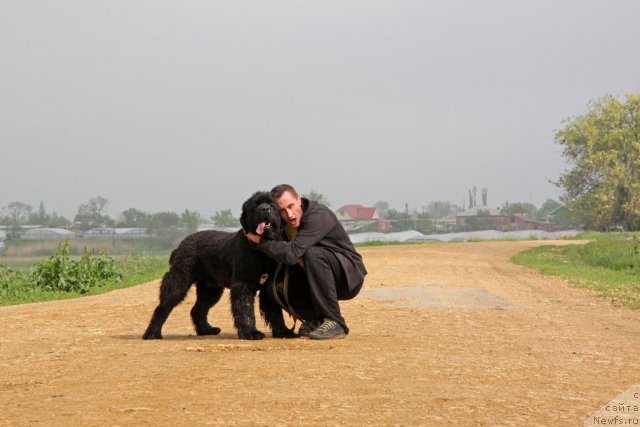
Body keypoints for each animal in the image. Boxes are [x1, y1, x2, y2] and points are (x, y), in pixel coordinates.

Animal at [141, 191, 296, 342]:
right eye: (255, 206)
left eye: (272, 205)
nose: (265, 209)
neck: (261, 250)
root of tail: (180, 246)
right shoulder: (243, 284)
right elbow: (245, 309)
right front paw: (250, 333)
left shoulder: (268, 285)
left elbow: (275, 311)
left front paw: (283, 331)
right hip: (179, 282)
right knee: (163, 307)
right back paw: (152, 333)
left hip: (210, 290)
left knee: (197, 309)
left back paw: (206, 330)